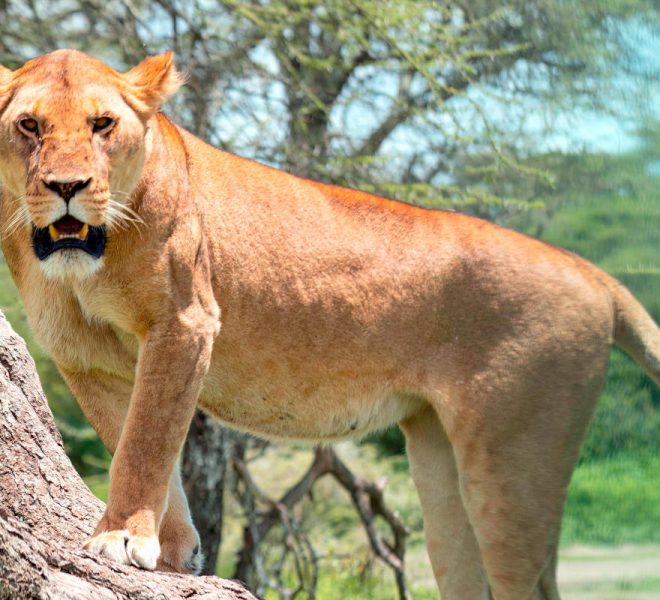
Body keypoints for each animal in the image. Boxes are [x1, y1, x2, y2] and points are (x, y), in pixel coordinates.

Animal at [0, 49, 658, 599]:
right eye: (29, 125)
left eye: (102, 124)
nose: (66, 187)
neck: (88, 263)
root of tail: (588, 269)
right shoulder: (87, 359)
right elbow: (132, 441)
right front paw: (174, 551)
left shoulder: (185, 322)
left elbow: (145, 442)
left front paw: (122, 539)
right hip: (441, 461)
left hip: (512, 461)